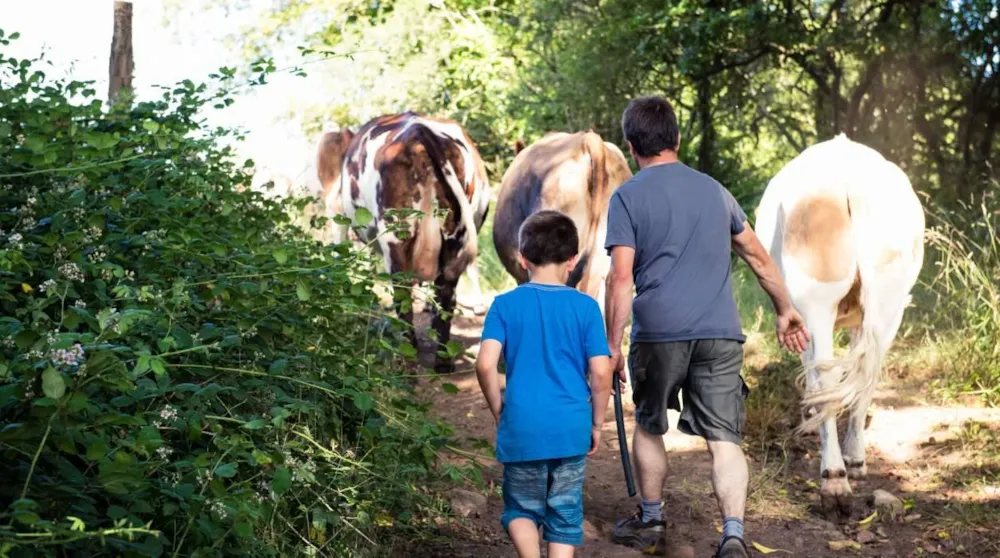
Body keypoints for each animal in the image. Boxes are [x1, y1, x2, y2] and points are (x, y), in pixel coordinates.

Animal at [752, 135, 924, 520]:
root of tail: (848, 181)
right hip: (885, 303)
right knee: (864, 372)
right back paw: (849, 466)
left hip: (816, 299)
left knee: (828, 377)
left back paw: (834, 479)